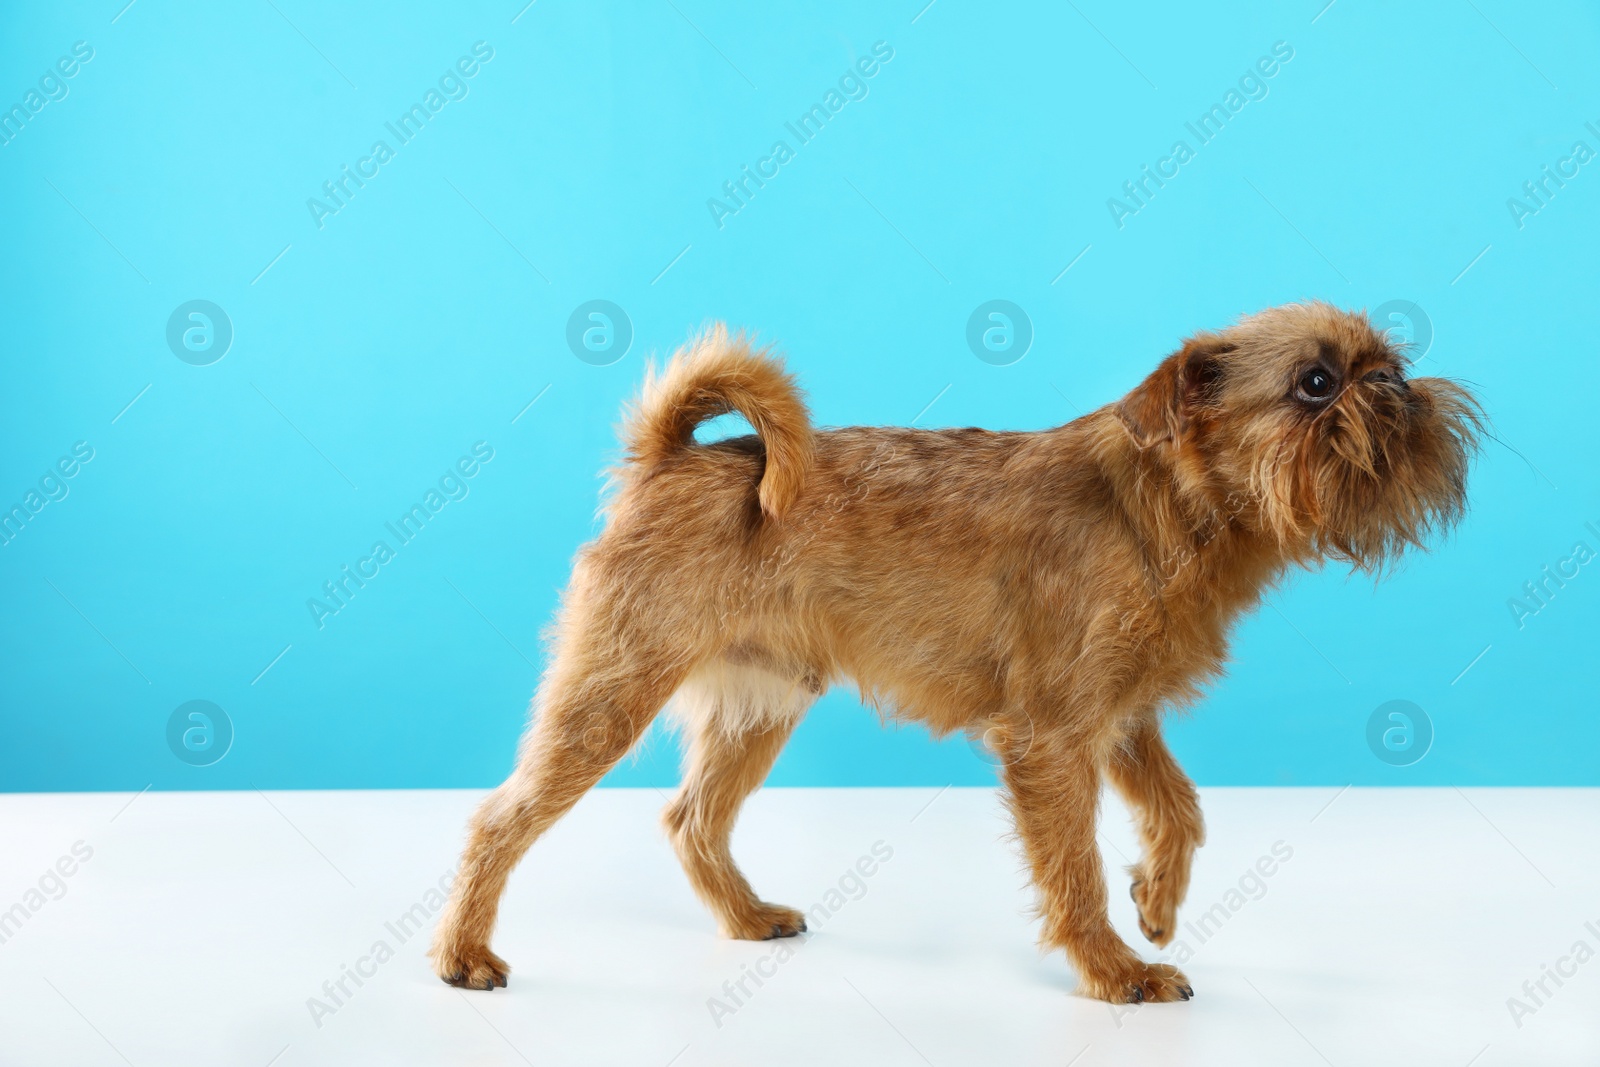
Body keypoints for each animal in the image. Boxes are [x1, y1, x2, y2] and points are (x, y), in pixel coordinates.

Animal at [432, 300, 1478, 1004]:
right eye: (1317, 383)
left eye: (1390, 359)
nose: (1396, 385)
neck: (1170, 509)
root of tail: (673, 457)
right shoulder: (1055, 736)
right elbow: (1074, 865)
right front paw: (1116, 967)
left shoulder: (1122, 717)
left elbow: (1180, 807)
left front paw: (1157, 898)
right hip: (612, 689)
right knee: (500, 816)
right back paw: (463, 953)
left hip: (760, 704)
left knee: (692, 817)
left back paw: (746, 916)